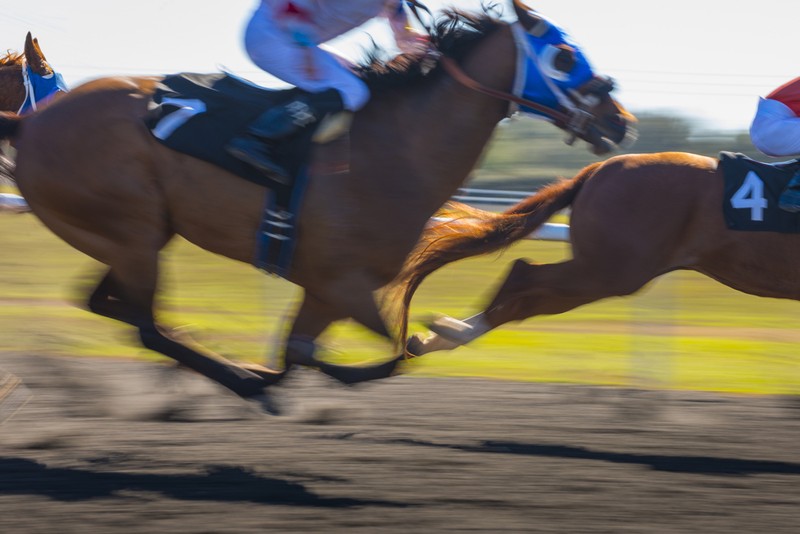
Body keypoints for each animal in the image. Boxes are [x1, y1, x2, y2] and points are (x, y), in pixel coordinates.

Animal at [0, 4, 635, 404]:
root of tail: (31, 126)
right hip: (131, 232)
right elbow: (390, 353)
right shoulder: (343, 282)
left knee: (111, 305)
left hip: (133, 236)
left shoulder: (327, 289)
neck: (396, 147)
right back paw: (239, 379)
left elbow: (309, 351)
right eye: (563, 56)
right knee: (145, 325)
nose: (619, 119)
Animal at [395, 151, 800, 357]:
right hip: (612, 271)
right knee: (523, 273)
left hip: (601, 271)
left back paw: (438, 336)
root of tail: (598, 168)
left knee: (524, 299)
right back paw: (450, 332)